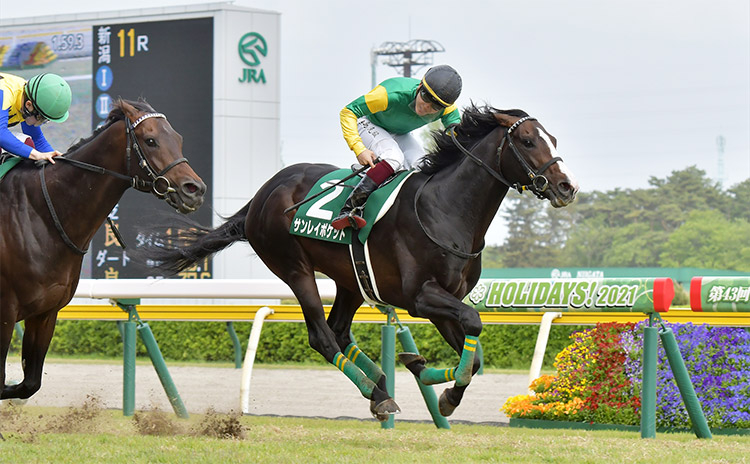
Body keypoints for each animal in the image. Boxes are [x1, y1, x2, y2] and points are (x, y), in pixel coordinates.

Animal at [0, 99, 206, 400]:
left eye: (178, 139)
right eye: (151, 140)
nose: (195, 190)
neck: (40, 213)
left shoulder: (46, 313)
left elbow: (29, 383)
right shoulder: (5, 313)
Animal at [147, 105, 580, 420]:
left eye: (554, 139)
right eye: (527, 140)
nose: (566, 186)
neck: (445, 209)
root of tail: (263, 193)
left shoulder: (444, 301)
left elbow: (472, 357)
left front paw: (430, 378)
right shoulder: (420, 297)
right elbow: (473, 323)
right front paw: (437, 388)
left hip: (351, 280)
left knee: (340, 332)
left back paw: (382, 386)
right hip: (294, 268)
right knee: (322, 336)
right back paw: (377, 391)